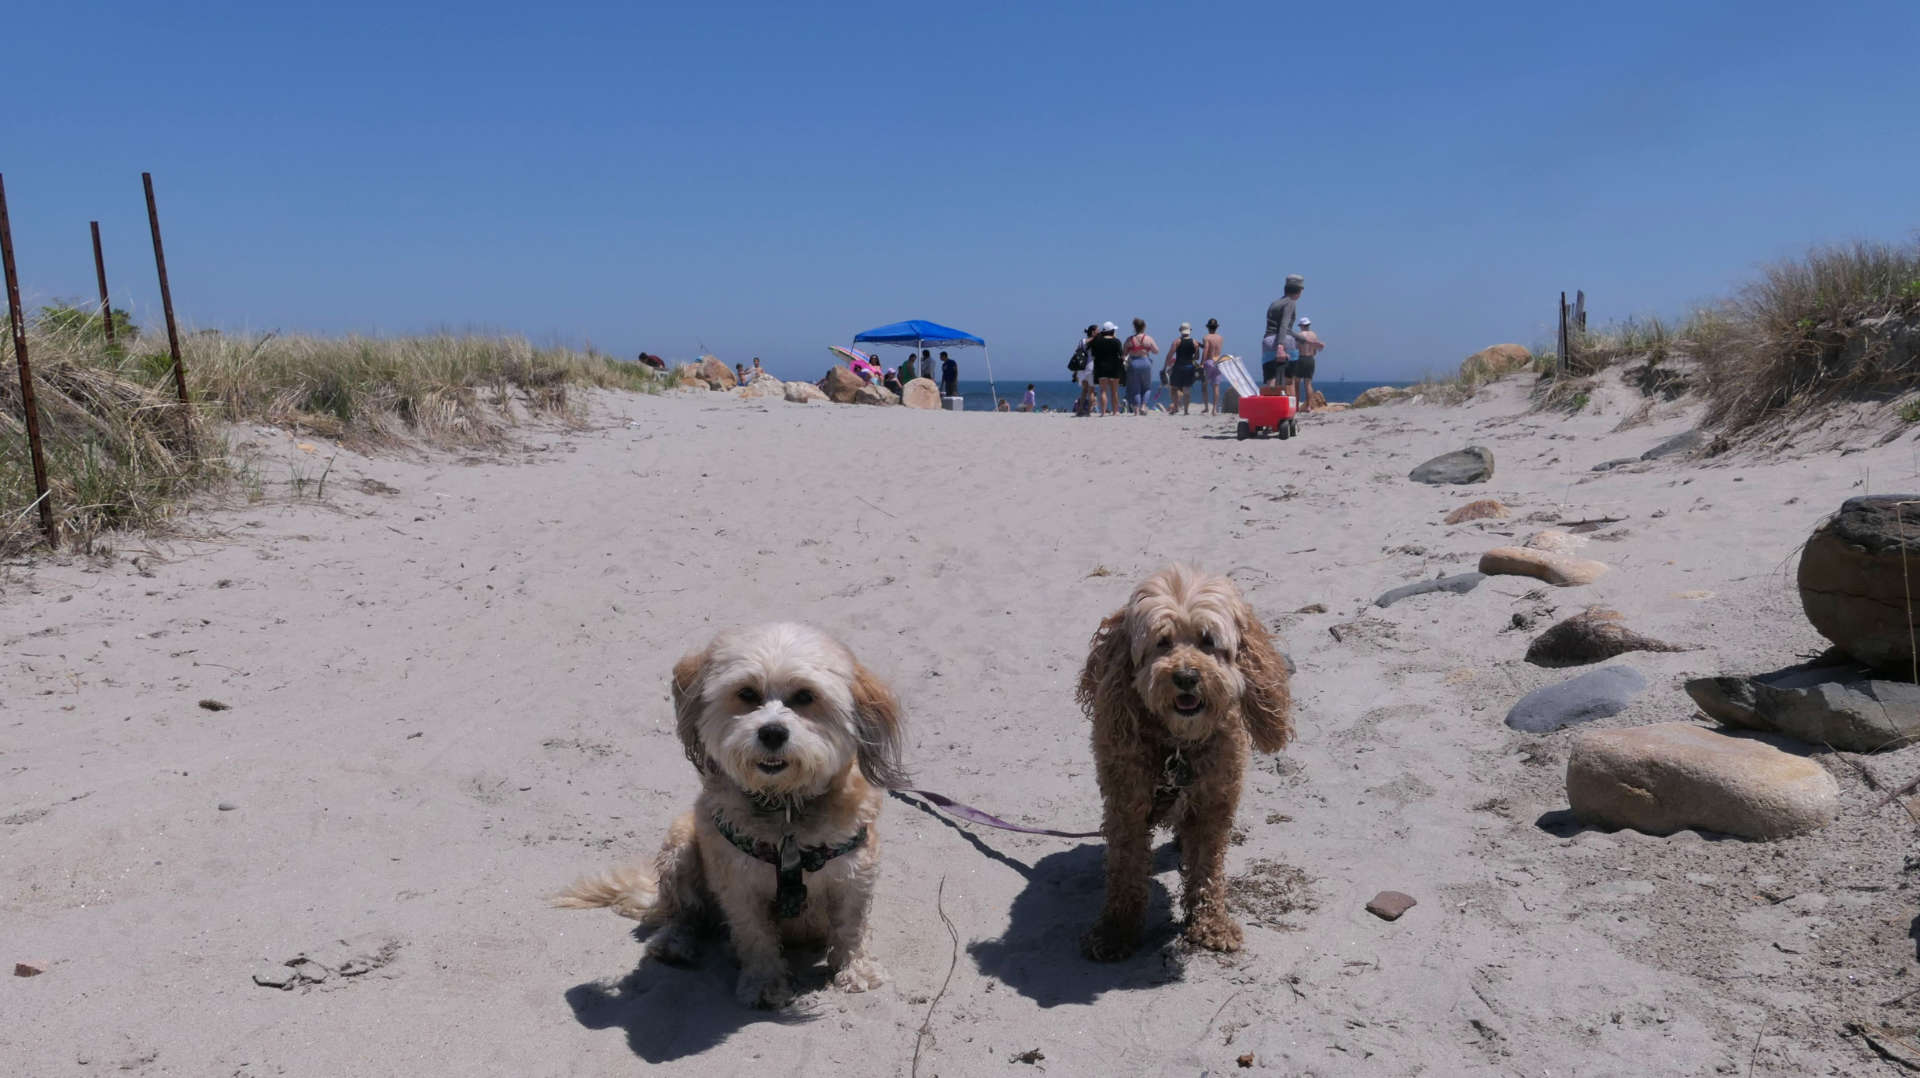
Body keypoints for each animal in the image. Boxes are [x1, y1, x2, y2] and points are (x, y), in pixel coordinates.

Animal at [556, 622, 906, 1006]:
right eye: (747, 693)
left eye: (804, 697)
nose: (772, 732)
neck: (784, 809)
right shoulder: (737, 884)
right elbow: (755, 935)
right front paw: (765, 983)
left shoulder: (855, 873)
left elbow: (852, 926)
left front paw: (857, 970)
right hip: (681, 845)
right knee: (684, 912)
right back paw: (674, 943)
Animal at [1082, 564, 1290, 956]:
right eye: (1162, 642)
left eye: (1208, 641)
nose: (1186, 677)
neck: (1178, 744)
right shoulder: (1126, 807)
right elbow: (1126, 868)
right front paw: (1117, 930)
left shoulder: (1213, 805)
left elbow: (1207, 867)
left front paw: (1211, 923)